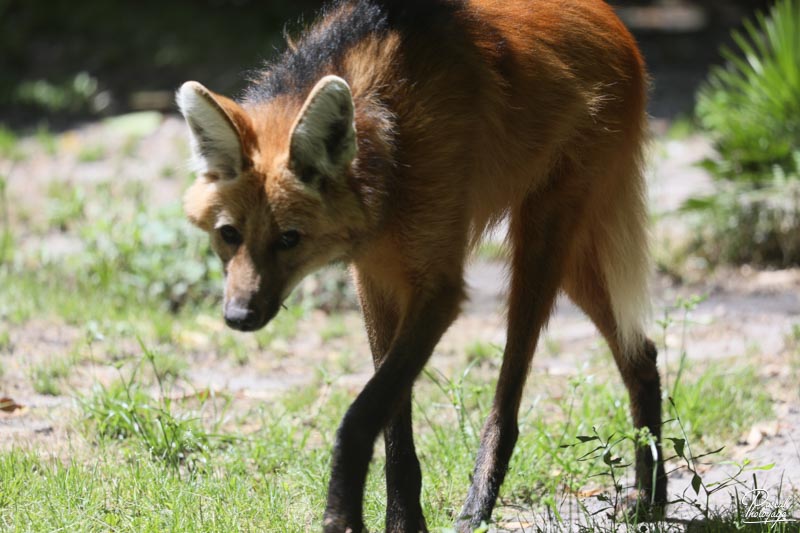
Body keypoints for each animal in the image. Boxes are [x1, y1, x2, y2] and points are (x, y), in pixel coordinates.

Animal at [178, 0, 664, 528]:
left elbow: (361, 414)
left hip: (542, 238)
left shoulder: (437, 290)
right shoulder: (375, 277)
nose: (238, 317)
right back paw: (652, 494)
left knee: (510, 396)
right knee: (642, 353)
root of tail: (612, 20)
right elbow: (394, 424)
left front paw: (343, 512)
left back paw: (481, 507)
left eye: (289, 239)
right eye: (229, 235)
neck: (387, 148)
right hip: (571, 260)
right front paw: (403, 521)